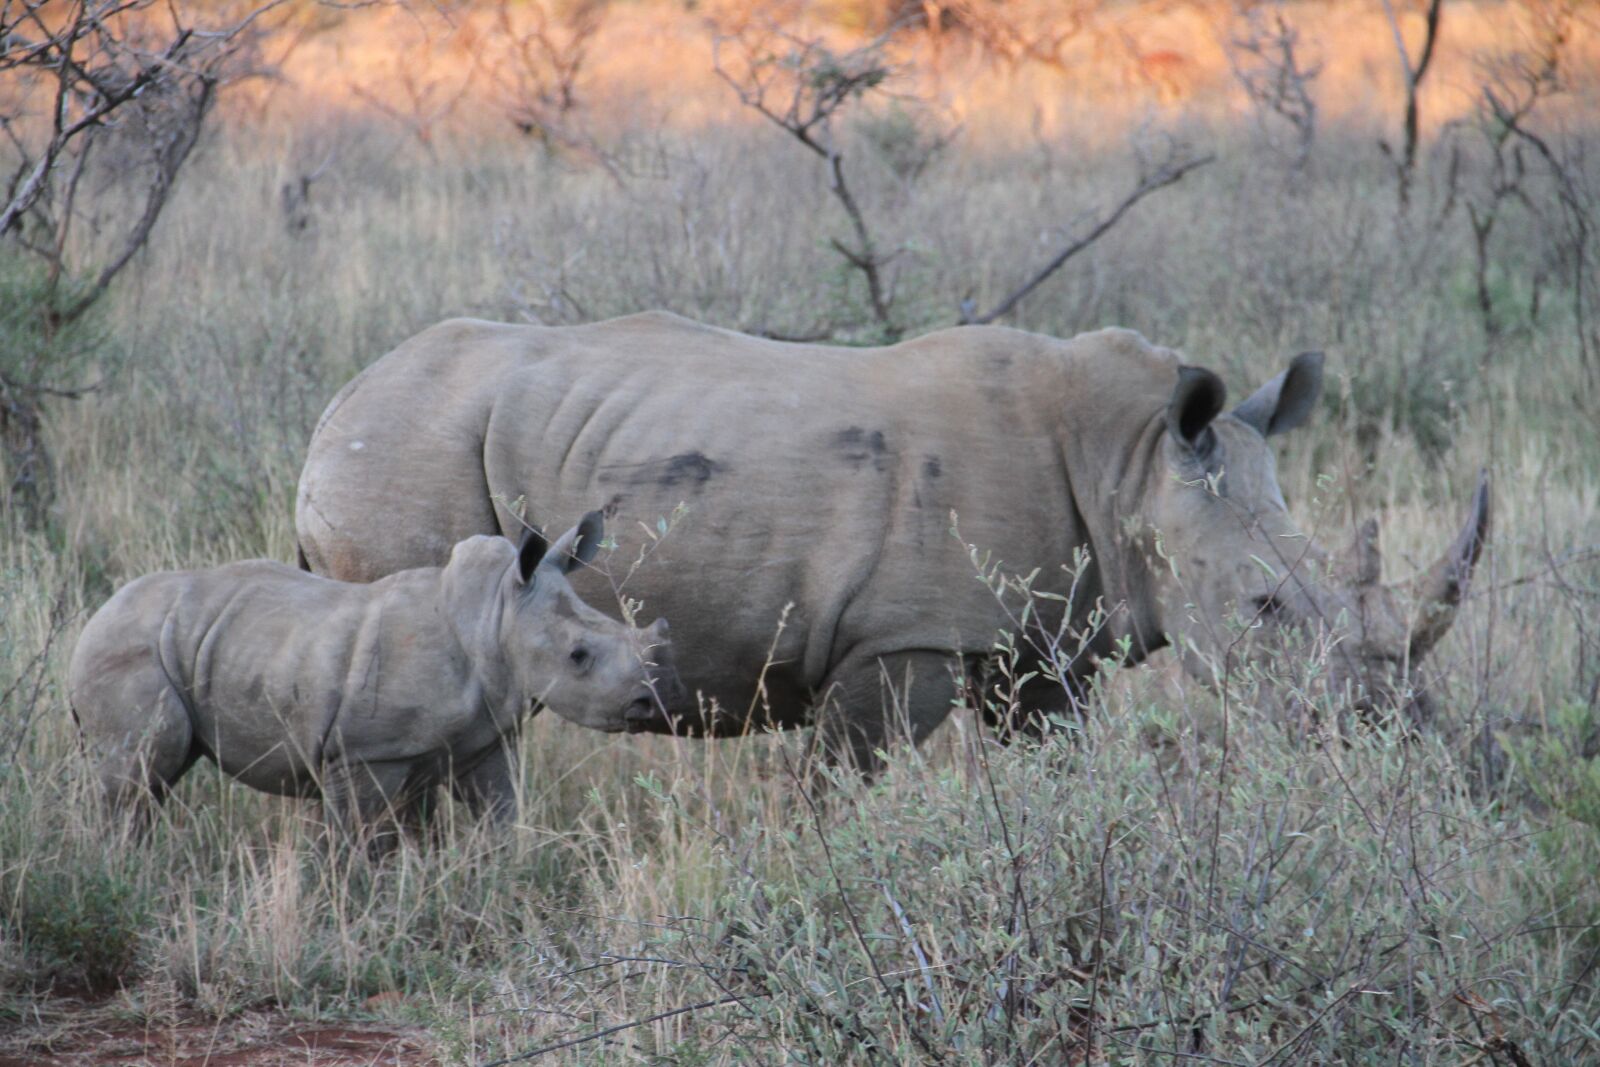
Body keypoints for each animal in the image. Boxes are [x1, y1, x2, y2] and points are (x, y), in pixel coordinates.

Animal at [69, 512, 680, 842]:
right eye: (578, 655)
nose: (646, 704)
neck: (495, 613)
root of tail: (93, 619)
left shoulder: (484, 740)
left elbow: (500, 815)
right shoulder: (365, 753)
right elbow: (362, 842)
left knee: (156, 775)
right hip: (130, 649)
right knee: (143, 769)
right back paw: (120, 871)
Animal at [295, 313, 1489, 767]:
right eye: (1265, 607)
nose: (1391, 728)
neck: (1130, 457)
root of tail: (331, 406)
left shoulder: (1042, 644)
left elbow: (1053, 764)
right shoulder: (899, 638)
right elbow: (841, 783)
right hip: (404, 448)